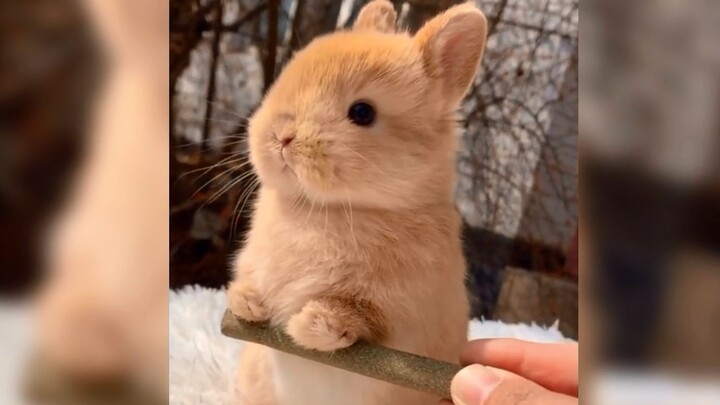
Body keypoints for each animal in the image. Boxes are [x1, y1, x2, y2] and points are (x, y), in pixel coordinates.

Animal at [226, 1, 487, 404]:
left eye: (362, 112)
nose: (281, 136)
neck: (323, 209)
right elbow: (252, 281)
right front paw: (245, 301)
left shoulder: (398, 313)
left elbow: (361, 318)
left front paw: (312, 323)